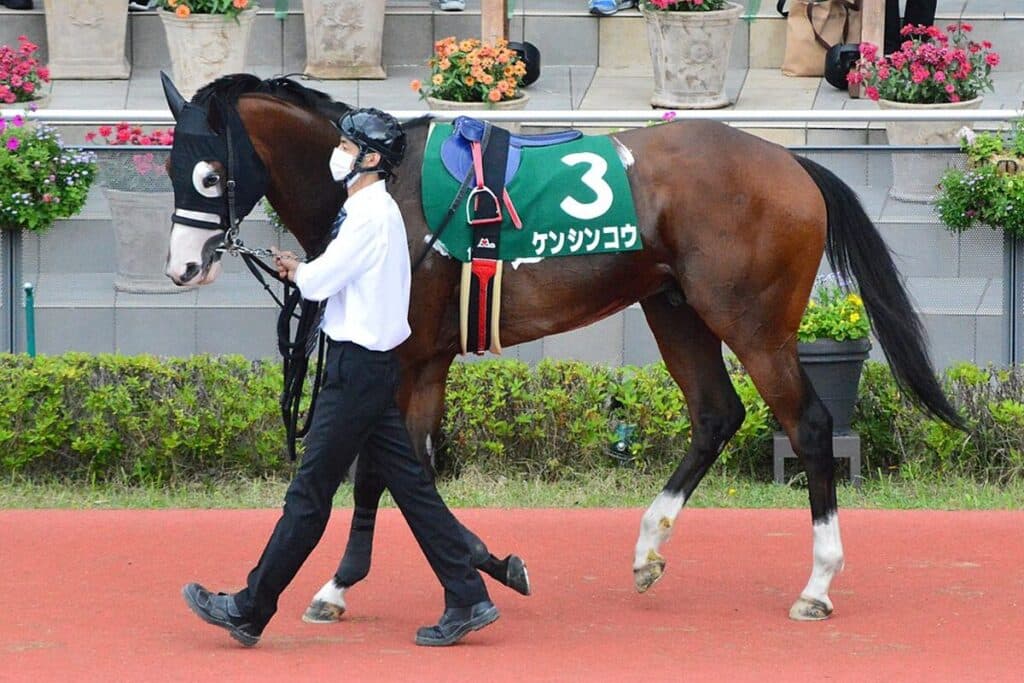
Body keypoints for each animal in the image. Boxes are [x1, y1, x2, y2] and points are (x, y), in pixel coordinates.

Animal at [159, 73, 962, 623]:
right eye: (169, 169)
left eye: (207, 172)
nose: (182, 267)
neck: (385, 187)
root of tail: (794, 165)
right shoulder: (424, 362)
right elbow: (408, 469)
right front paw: (473, 564)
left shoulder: (404, 357)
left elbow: (375, 474)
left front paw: (340, 585)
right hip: (673, 307)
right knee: (715, 415)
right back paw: (647, 549)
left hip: (753, 323)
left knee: (811, 427)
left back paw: (817, 583)